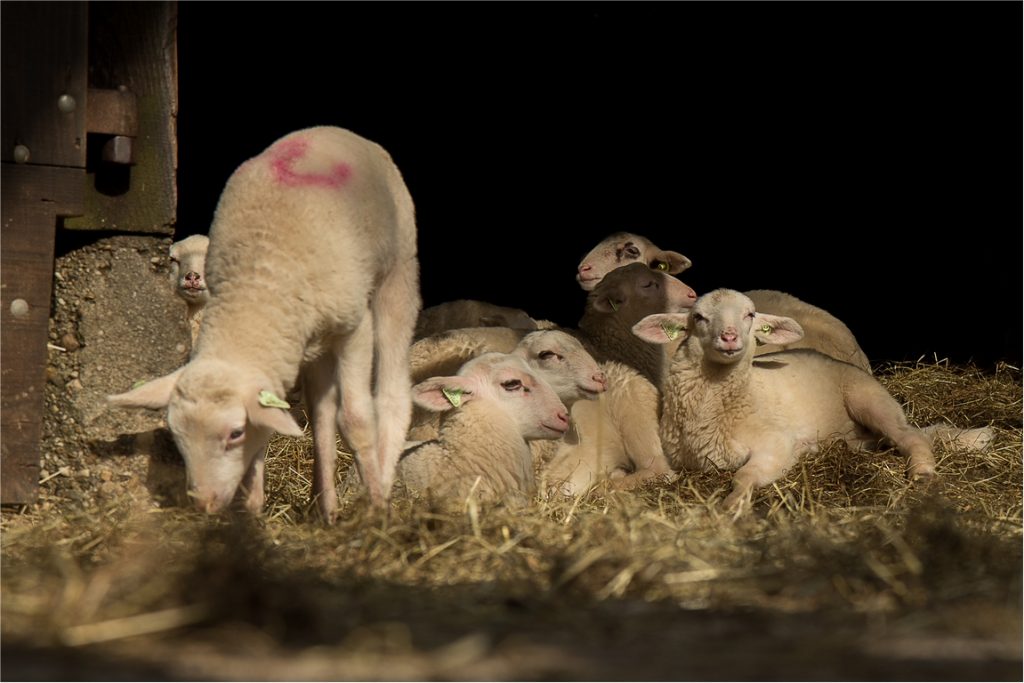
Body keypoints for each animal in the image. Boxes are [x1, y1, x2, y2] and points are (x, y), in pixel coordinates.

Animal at [107, 125, 419, 518]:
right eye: (177, 436)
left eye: (234, 433)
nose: (203, 503)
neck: (257, 285)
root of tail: (331, 130)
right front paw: (252, 506)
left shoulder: (354, 328)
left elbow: (356, 419)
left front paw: (375, 508)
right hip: (312, 340)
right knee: (321, 413)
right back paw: (324, 505)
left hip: (397, 269)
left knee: (391, 383)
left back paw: (383, 480)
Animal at [630, 288, 937, 511]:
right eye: (698, 317)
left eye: (750, 314)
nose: (729, 337)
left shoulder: (775, 442)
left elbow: (743, 477)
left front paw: (731, 506)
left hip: (868, 399)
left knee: (909, 435)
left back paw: (922, 471)